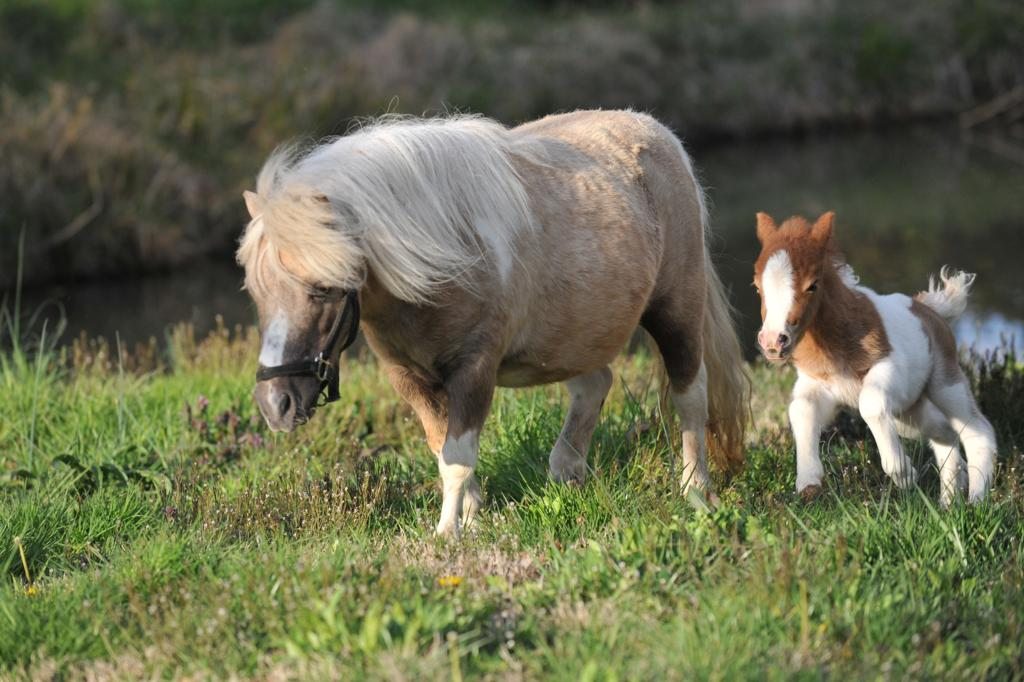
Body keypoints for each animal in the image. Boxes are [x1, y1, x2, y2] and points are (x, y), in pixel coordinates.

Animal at [239, 110, 753, 536]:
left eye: (322, 288)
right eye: (258, 292)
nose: (275, 405)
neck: (443, 251)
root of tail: (662, 136)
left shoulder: (474, 370)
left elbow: (457, 457)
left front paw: (448, 533)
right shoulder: (411, 380)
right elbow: (444, 451)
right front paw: (471, 518)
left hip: (676, 310)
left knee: (690, 397)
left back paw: (695, 491)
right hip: (573, 338)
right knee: (595, 384)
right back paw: (567, 473)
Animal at [753, 212, 991, 503]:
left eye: (812, 285)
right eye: (757, 287)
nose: (772, 342)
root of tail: (929, 309)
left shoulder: (888, 366)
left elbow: (869, 403)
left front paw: (902, 473)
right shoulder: (816, 384)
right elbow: (800, 409)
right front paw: (808, 481)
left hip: (945, 384)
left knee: (977, 431)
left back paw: (976, 501)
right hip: (909, 413)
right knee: (945, 433)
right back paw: (948, 501)